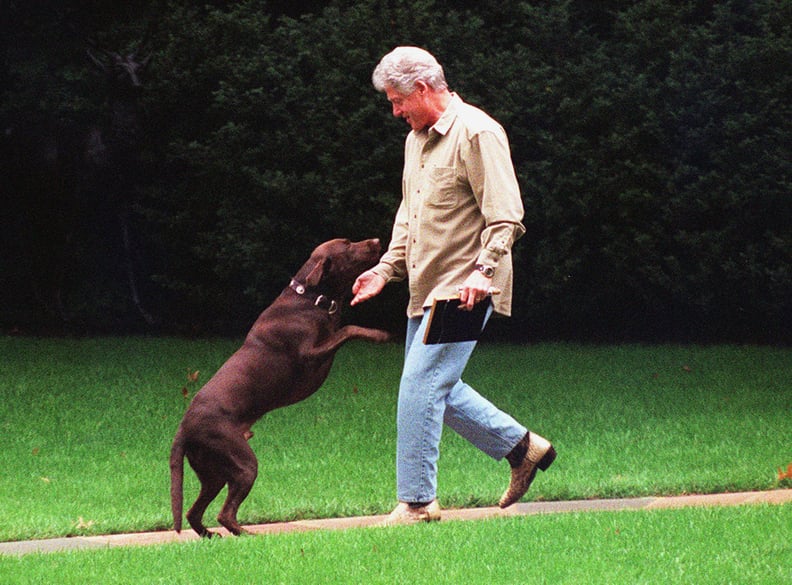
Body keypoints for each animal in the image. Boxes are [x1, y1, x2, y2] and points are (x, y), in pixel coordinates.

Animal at [171, 237, 390, 532]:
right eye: (347, 245)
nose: (377, 240)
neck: (311, 300)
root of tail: (184, 427)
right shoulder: (310, 353)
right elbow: (348, 330)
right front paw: (379, 334)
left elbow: (343, 330)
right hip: (242, 462)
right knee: (224, 514)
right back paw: (247, 535)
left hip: (213, 471)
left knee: (194, 513)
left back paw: (212, 536)